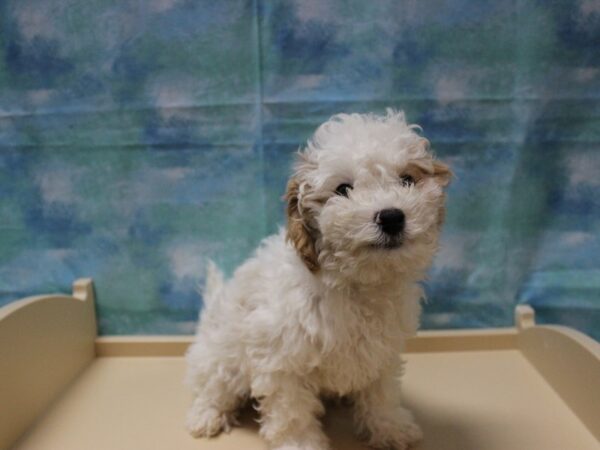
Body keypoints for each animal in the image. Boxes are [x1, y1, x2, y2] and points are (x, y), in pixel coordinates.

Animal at [185, 110, 452, 450]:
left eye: (407, 179)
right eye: (343, 189)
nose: (392, 217)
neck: (357, 283)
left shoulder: (382, 352)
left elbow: (382, 394)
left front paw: (390, 428)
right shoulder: (282, 361)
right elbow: (292, 412)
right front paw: (300, 444)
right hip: (220, 356)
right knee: (212, 386)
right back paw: (206, 416)